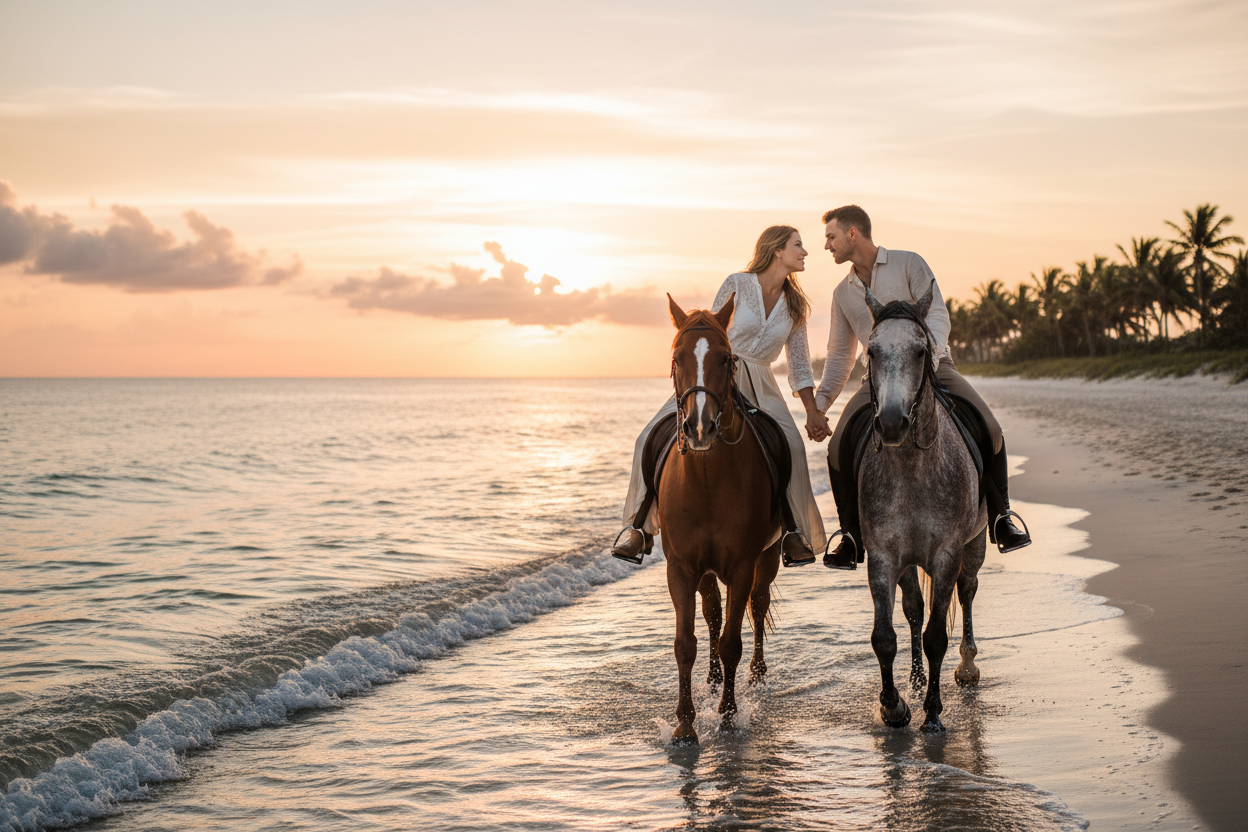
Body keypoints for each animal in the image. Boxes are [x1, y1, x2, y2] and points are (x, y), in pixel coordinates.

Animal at [657, 293, 785, 745]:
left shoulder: (743, 565)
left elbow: (733, 641)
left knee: (757, 606)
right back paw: (712, 679)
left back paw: (756, 675)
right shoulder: (680, 567)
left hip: (769, 556)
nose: (700, 428)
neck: (708, 480)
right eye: (677, 358)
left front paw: (728, 715)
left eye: (726, 359)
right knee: (711, 615)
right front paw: (684, 723)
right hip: (705, 571)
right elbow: (685, 642)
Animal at [858, 284, 988, 733]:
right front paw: (894, 707)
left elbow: (936, 636)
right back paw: (914, 680)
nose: (891, 423)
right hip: (907, 562)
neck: (912, 469)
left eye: (920, 351)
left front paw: (932, 712)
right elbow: (885, 636)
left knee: (968, 592)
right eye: (871, 351)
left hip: (975, 545)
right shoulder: (882, 556)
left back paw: (967, 667)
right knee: (913, 610)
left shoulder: (947, 554)